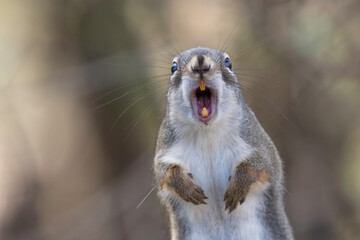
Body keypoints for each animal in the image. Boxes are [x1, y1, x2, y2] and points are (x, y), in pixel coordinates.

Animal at [153, 47, 294, 240]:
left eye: (228, 63)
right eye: (173, 67)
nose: (200, 63)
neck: (207, 132)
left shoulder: (257, 141)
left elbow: (262, 164)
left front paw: (239, 185)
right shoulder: (165, 148)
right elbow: (163, 173)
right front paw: (184, 187)